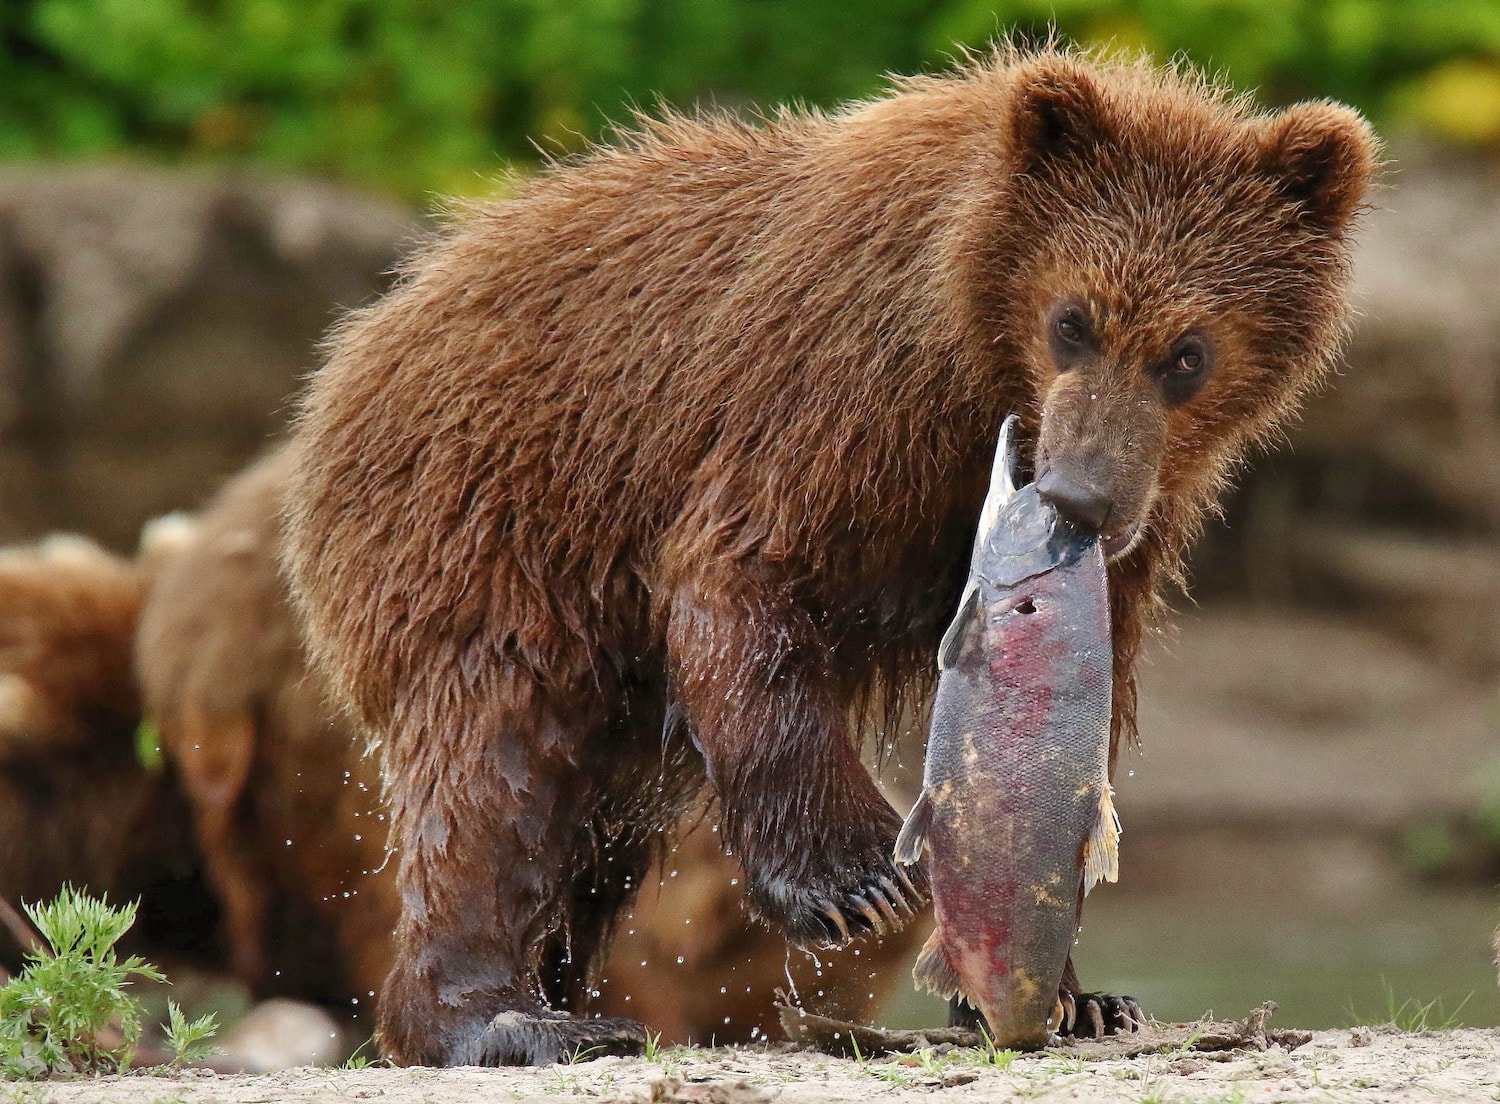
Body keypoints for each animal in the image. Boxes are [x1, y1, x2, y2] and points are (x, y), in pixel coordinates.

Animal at [279, 47, 1374, 1068]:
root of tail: (359, 342)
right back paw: (507, 1020)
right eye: (1073, 320)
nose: (1082, 498)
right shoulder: (836, 394)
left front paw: (1072, 990)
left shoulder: (1142, 515)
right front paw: (858, 883)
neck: (972, 354)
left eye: (1188, 352)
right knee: (494, 770)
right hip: (493, 529)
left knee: (590, 839)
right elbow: (745, 581)